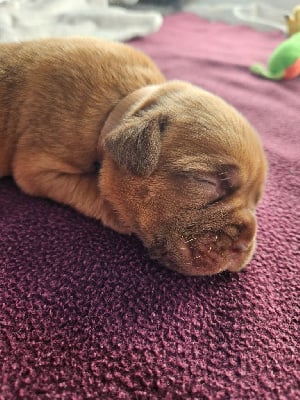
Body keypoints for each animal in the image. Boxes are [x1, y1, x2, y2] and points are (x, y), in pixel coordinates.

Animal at [0, 36, 268, 276]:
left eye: (256, 202)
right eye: (206, 182)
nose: (244, 245)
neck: (125, 105)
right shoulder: (38, 167)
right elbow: (94, 189)